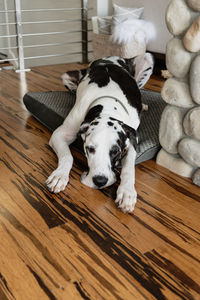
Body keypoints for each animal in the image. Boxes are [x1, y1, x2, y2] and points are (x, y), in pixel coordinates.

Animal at [46, 54, 154, 213]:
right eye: (90, 149)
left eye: (115, 152)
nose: (100, 181)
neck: (108, 103)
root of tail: (111, 57)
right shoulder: (59, 134)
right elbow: (67, 156)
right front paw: (59, 175)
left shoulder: (133, 140)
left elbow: (129, 167)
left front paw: (127, 191)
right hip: (66, 76)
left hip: (147, 58)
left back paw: (144, 105)